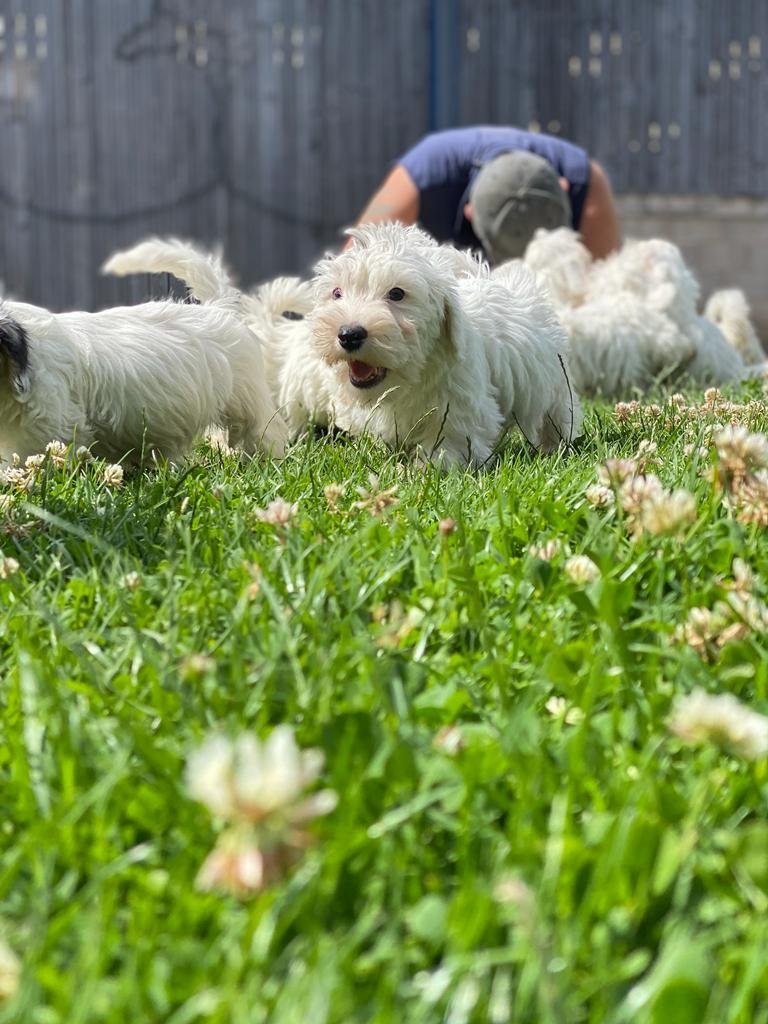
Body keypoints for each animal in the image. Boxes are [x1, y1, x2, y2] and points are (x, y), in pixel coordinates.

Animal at [272, 224, 581, 468]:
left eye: (397, 294)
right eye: (336, 293)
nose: (349, 334)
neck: (411, 374)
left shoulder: (458, 409)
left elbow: (446, 446)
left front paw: (421, 472)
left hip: (555, 383)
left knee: (558, 413)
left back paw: (556, 447)